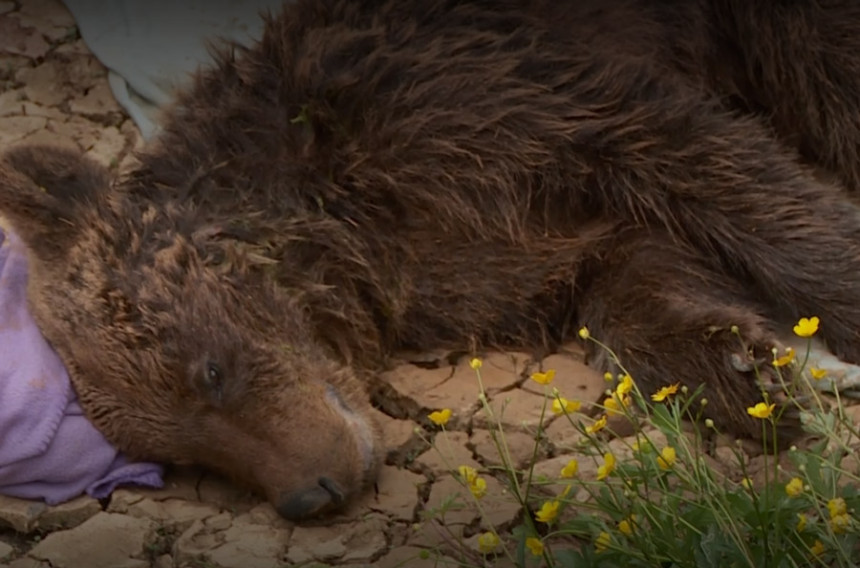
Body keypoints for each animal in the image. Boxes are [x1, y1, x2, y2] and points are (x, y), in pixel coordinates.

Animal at [0, 0, 860, 520]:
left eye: (210, 370)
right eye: (178, 456)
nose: (312, 495)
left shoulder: (506, 104)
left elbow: (730, 176)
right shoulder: (483, 256)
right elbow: (626, 283)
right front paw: (746, 371)